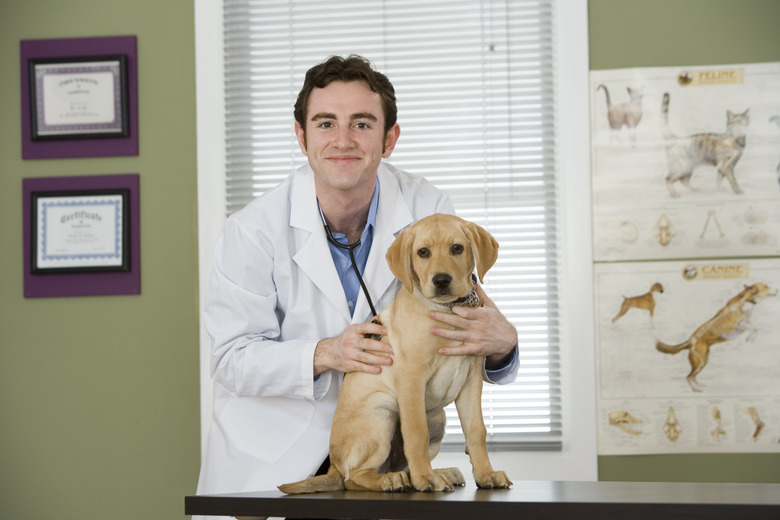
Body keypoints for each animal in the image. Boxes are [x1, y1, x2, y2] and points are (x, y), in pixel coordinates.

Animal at [278, 213, 512, 494]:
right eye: (423, 252)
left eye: (457, 248)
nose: (441, 281)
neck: (446, 311)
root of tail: (333, 464)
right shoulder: (411, 378)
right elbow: (416, 432)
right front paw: (427, 479)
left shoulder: (471, 381)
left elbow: (477, 430)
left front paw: (486, 473)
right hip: (382, 412)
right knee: (353, 477)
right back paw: (394, 479)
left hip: (437, 417)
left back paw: (437, 472)